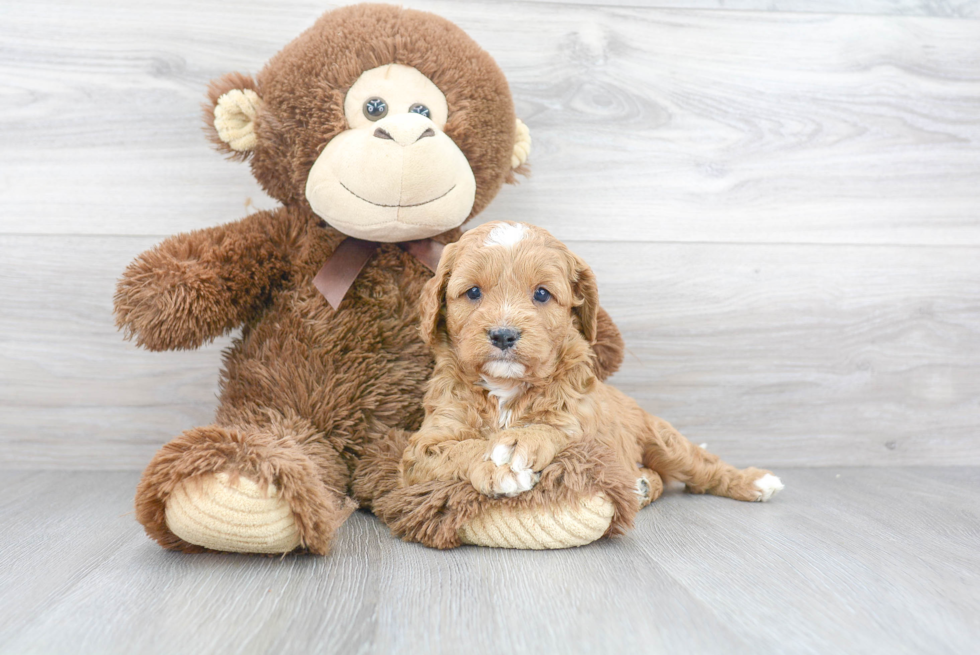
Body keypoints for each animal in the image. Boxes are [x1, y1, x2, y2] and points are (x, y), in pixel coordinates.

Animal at [398, 223, 780, 516]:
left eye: (541, 294)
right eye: (473, 292)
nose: (504, 334)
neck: (506, 387)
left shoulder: (581, 425)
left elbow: (553, 429)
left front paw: (515, 447)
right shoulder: (423, 447)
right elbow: (458, 449)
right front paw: (494, 464)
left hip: (662, 439)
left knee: (703, 466)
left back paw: (754, 482)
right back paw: (640, 484)